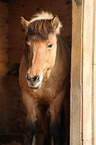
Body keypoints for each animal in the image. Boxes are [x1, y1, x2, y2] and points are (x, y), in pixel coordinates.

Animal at [19, 11, 70, 145]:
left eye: (50, 45)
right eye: (27, 45)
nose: (32, 78)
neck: (46, 77)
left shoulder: (57, 99)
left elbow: (55, 128)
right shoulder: (28, 97)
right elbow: (30, 128)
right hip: (42, 105)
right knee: (46, 129)